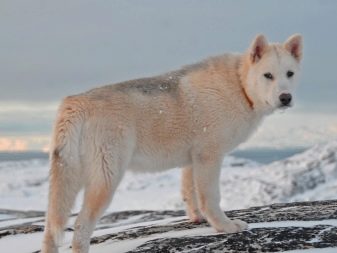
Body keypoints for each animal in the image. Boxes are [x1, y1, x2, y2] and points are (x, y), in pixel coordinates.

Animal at [41, 34, 302, 253]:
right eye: (268, 75)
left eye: (290, 74)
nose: (286, 98)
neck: (238, 87)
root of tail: (75, 102)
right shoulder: (210, 157)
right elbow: (211, 198)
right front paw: (225, 227)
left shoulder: (192, 160)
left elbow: (190, 194)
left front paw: (197, 219)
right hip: (105, 181)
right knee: (81, 226)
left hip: (69, 182)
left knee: (51, 230)